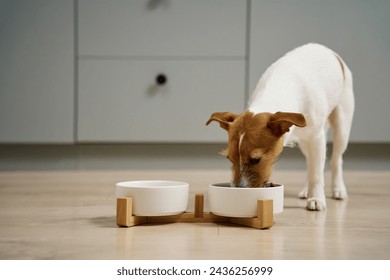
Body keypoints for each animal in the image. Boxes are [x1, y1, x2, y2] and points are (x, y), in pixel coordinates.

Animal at [206, 43, 354, 210]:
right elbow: (313, 168)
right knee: (310, 161)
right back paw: (306, 189)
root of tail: (327, 50)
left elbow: (317, 174)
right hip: (305, 142)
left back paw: (338, 189)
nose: (238, 190)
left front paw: (316, 198)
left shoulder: (317, 137)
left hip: (342, 126)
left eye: (256, 159)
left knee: (336, 160)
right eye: (230, 159)